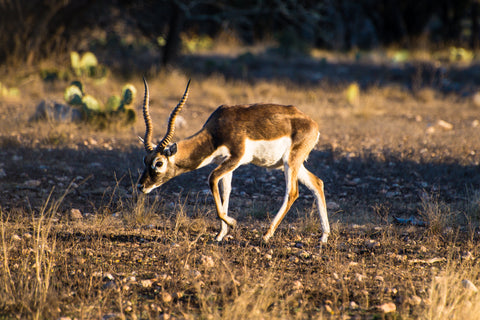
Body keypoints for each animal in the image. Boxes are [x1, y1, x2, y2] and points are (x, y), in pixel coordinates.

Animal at [136, 78, 330, 242]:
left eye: (159, 163)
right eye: (144, 160)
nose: (140, 186)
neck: (215, 133)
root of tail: (313, 124)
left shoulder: (236, 158)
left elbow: (212, 179)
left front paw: (233, 223)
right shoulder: (226, 163)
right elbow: (225, 191)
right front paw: (220, 234)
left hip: (291, 161)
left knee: (292, 192)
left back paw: (267, 235)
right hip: (290, 164)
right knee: (317, 183)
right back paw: (324, 237)